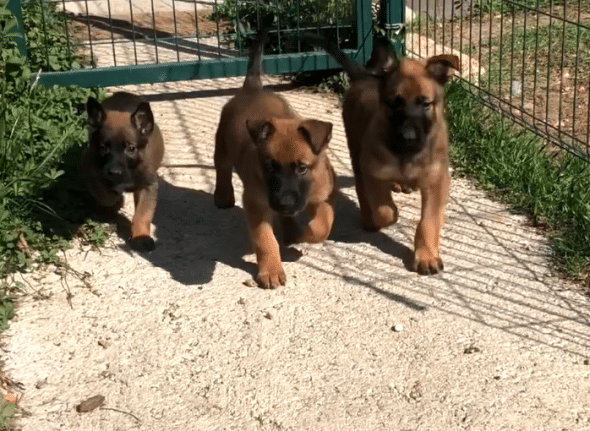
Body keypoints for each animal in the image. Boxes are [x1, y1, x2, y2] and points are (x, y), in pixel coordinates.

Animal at [82, 92, 164, 251]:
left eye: (131, 148)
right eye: (103, 148)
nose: (114, 172)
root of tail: (123, 93)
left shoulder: (148, 186)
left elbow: (142, 214)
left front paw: (140, 237)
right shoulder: (92, 173)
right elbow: (105, 196)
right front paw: (112, 203)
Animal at [216, 32, 338, 288]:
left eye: (302, 168)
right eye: (270, 167)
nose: (283, 203)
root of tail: (252, 88)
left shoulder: (324, 196)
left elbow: (322, 225)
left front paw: (304, 234)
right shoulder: (256, 204)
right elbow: (265, 239)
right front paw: (271, 269)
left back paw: (291, 230)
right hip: (221, 144)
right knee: (221, 168)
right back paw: (222, 195)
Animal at [302, 35, 460, 276]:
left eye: (425, 104)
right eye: (394, 104)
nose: (408, 137)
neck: (405, 155)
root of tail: (365, 76)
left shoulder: (436, 180)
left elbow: (429, 221)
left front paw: (426, 256)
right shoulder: (373, 173)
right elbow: (384, 210)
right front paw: (389, 215)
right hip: (356, 153)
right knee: (362, 191)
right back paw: (370, 220)